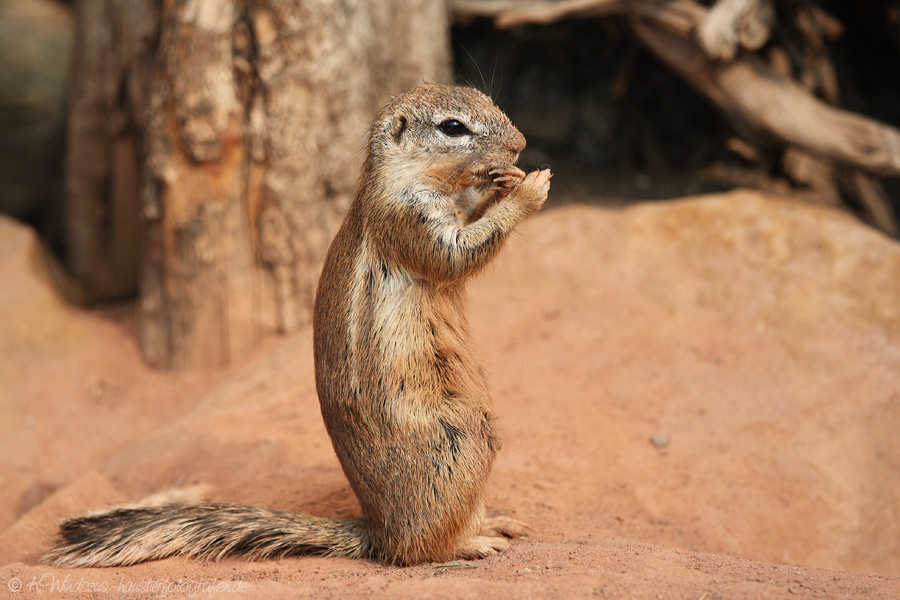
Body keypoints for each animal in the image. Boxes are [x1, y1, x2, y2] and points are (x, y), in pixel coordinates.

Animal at [45, 83, 552, 568]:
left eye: (486, 100)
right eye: (453, 127)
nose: (521, 143)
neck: (412, 177)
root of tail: (378, 531)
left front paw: (506, 181)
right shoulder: (410, 220)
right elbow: (459, 253)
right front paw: (529, 189)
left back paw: (498, 523)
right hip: (461, 439)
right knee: (421, 552)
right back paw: (473, 543)